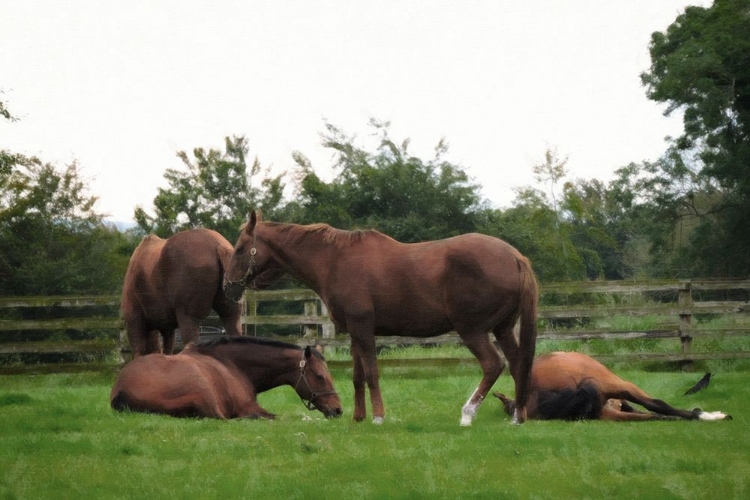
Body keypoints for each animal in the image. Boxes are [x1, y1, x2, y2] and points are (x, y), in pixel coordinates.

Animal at [109, 336, 344, 422]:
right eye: (320, 376)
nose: (338, 410)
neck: (232, 365)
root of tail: (122, 389)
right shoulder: (250, 408)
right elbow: (280, 417)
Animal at [223, 211, 540, 426]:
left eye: (239, 249)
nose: (228, 286)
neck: (334, 260)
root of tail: (515, 257)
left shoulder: (363, 329)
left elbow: (372, 373)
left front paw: (378, 417)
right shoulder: (354, 332)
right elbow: (357, 376)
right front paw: (358, 417)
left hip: (472, 330)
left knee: (493, 364)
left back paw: (467, 414)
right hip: (502, 328)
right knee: (518, 364)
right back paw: (518, 417)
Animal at [494, 352, 736, 422]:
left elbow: (653, 408)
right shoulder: (610, 410)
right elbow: (653, 412)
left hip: (615, 387)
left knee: (653, 406)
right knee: (650, 408)